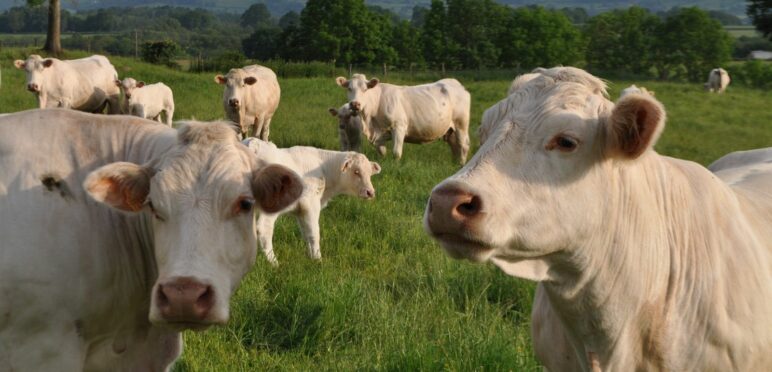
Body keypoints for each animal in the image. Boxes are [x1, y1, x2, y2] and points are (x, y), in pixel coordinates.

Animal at [244, 137, 380, 264]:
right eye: (356, 172)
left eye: (370, 174)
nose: (370, 192)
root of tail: (253, 143)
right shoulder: (310, 205)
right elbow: (314, 233)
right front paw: (318, 260)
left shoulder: (300, 211)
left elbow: (306, 233)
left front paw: (310, 257)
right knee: (264, 228)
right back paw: (274, 263)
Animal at [334, 73, 470, 163]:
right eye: (349, 88)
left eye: (365, 89)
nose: (355, 104)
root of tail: (455, 83)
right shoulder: (379, 134)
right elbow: (382, 151)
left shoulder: (399, 126)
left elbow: (396, 152)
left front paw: (396, 165)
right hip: (450, 130)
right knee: (455, 146)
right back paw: (454, 163)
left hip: (461, 124)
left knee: (463, 145)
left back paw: (461, 165)